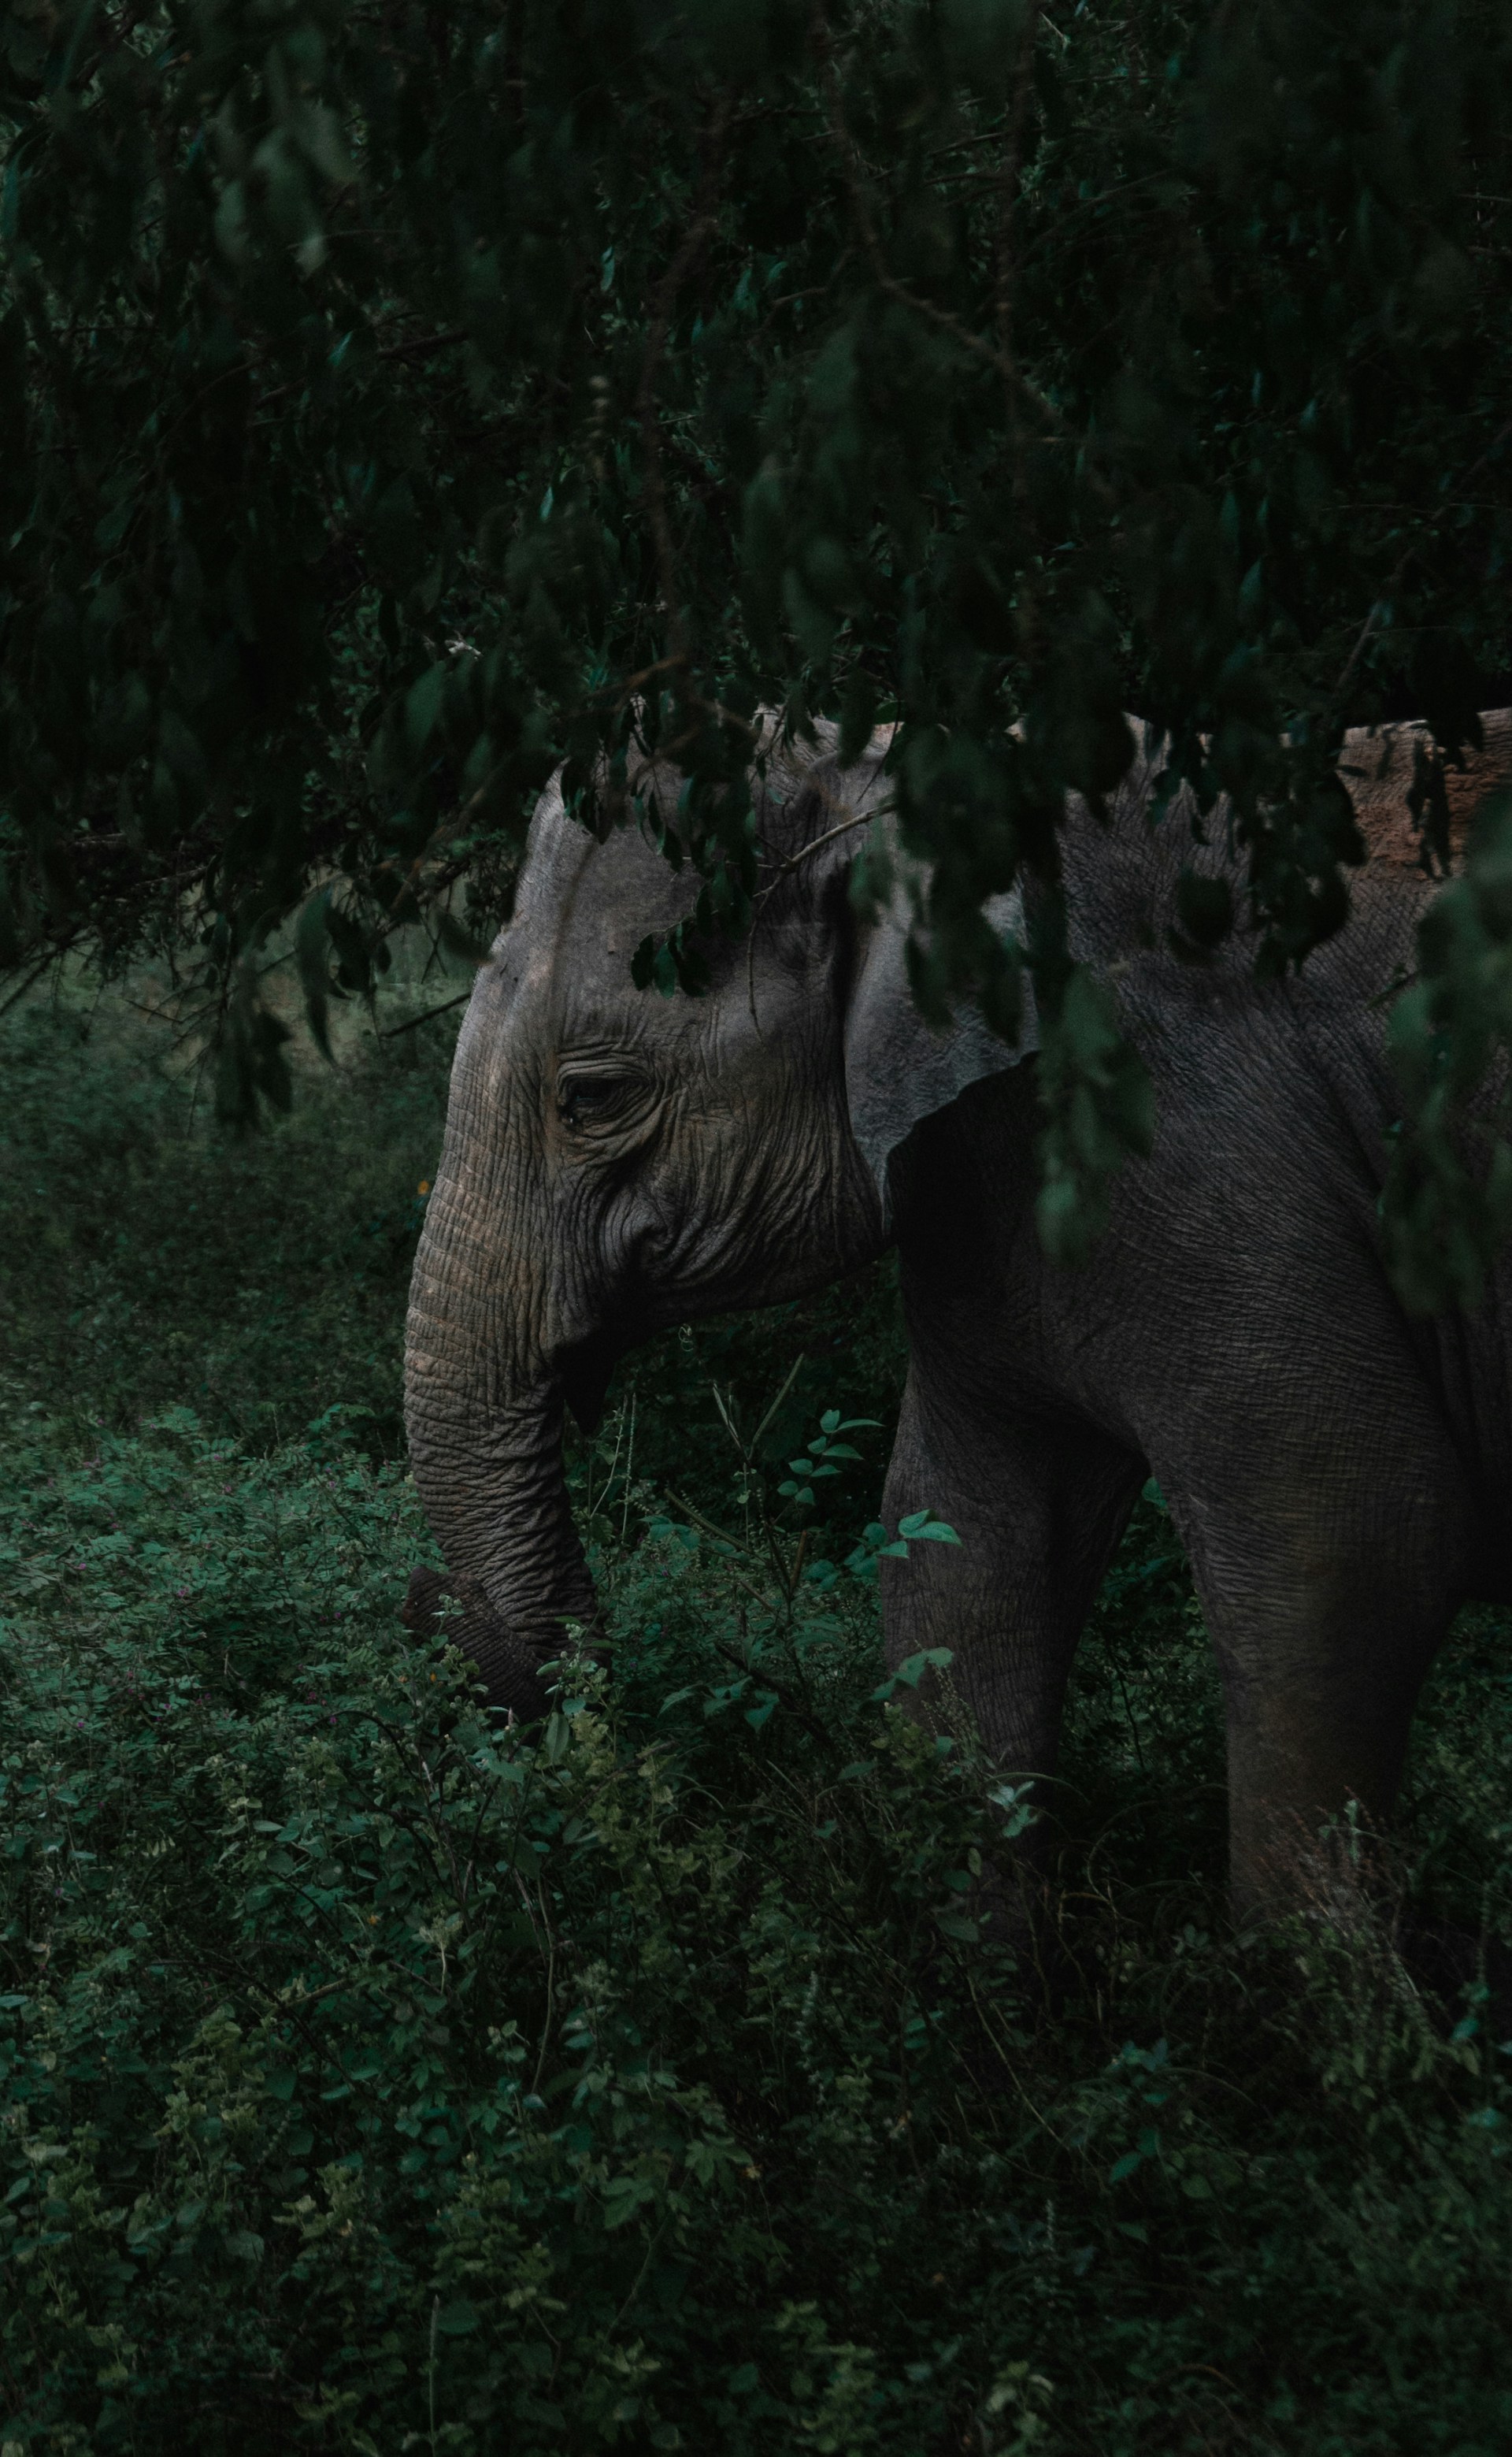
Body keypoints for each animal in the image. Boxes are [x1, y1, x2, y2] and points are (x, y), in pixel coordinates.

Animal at [404, 712, 1512, 1913]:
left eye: (593, 1097)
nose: (432, 1613)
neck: (890, 771)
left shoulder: (1199, 1139)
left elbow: (1353, 1544)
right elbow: (963, 1552)